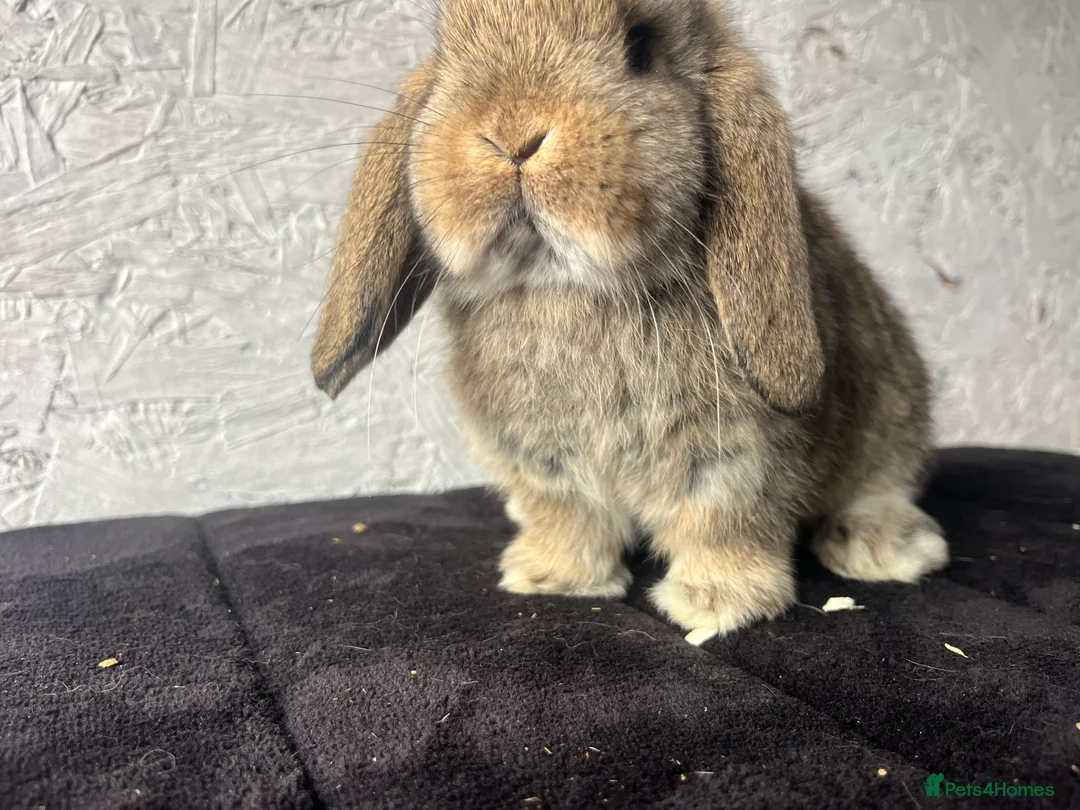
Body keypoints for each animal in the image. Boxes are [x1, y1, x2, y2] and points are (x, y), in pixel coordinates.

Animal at [310, 0, 950, 635]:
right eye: (446, 54)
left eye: (642, 45)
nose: (513, 136)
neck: (568, 288)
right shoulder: (542, 459)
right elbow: (568, 517)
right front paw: (551, 578)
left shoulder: (737, 455)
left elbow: (723, 522)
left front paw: (717, 602)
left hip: (896, 410)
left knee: (884, 481)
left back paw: (885, 548)